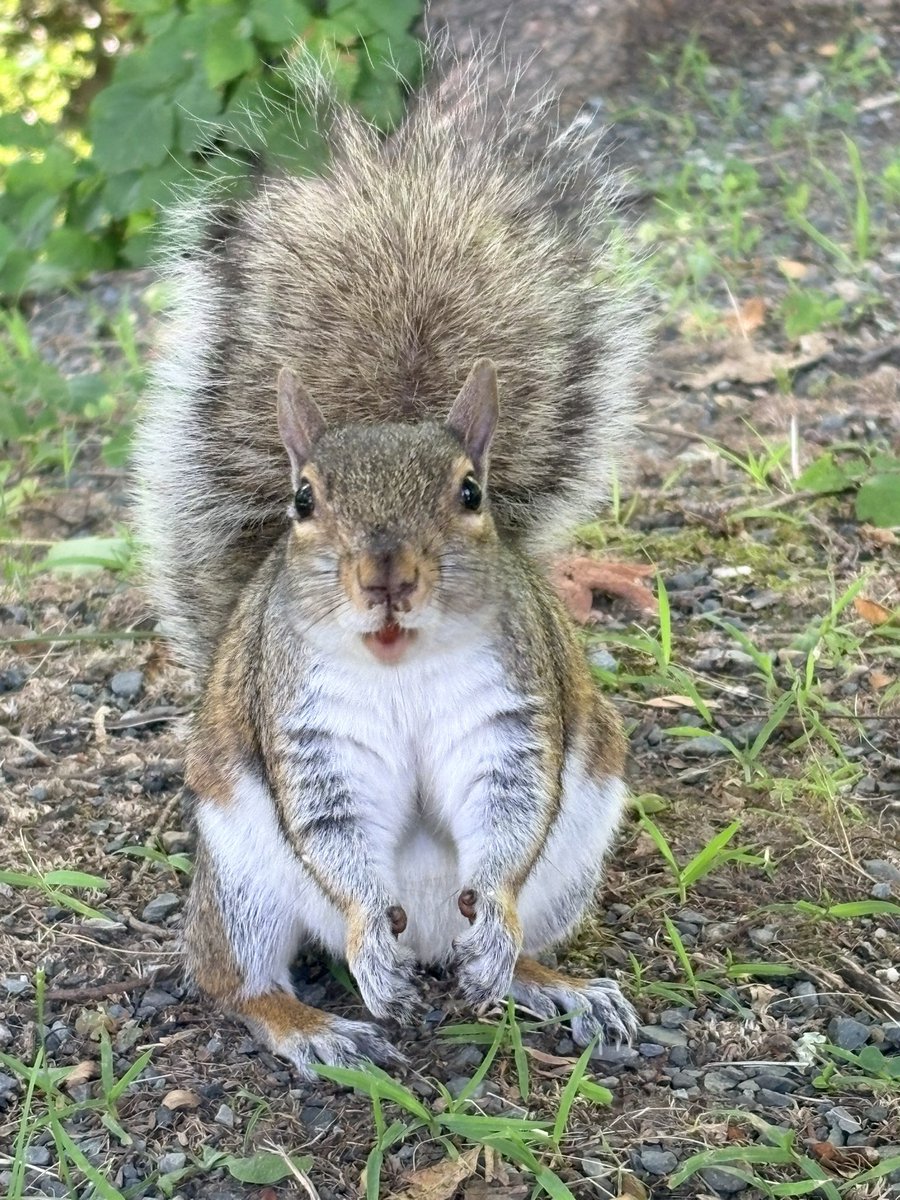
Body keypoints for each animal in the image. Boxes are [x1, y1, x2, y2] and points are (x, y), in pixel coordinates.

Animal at [134, 51, 645, 1076]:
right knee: (235, 981)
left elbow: (509, 804)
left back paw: (546, 980)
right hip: (243, 876)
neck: (399, 662)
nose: (386, 577)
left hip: (577, 854)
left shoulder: (513, 708)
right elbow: (334, 830)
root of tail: (435, 948)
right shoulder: (308, 727)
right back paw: (319, 1029)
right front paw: (370, 935)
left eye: (470, 494)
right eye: (302, 501)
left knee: (516, 946)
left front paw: (499, 924)